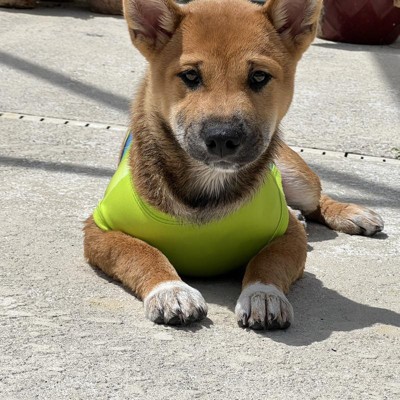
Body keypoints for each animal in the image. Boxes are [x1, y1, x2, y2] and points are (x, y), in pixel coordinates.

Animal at [84, 0, 384, 330]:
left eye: (259, 77)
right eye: (190, 76)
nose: (222, 138)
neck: (208, 185)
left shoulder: (289, 234)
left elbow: (268, 260)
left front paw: (262, 294)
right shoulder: (99, 230)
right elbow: (141, 253)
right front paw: (170, 289)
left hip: (299, 178)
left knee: (317, 199)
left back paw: (350, 212)